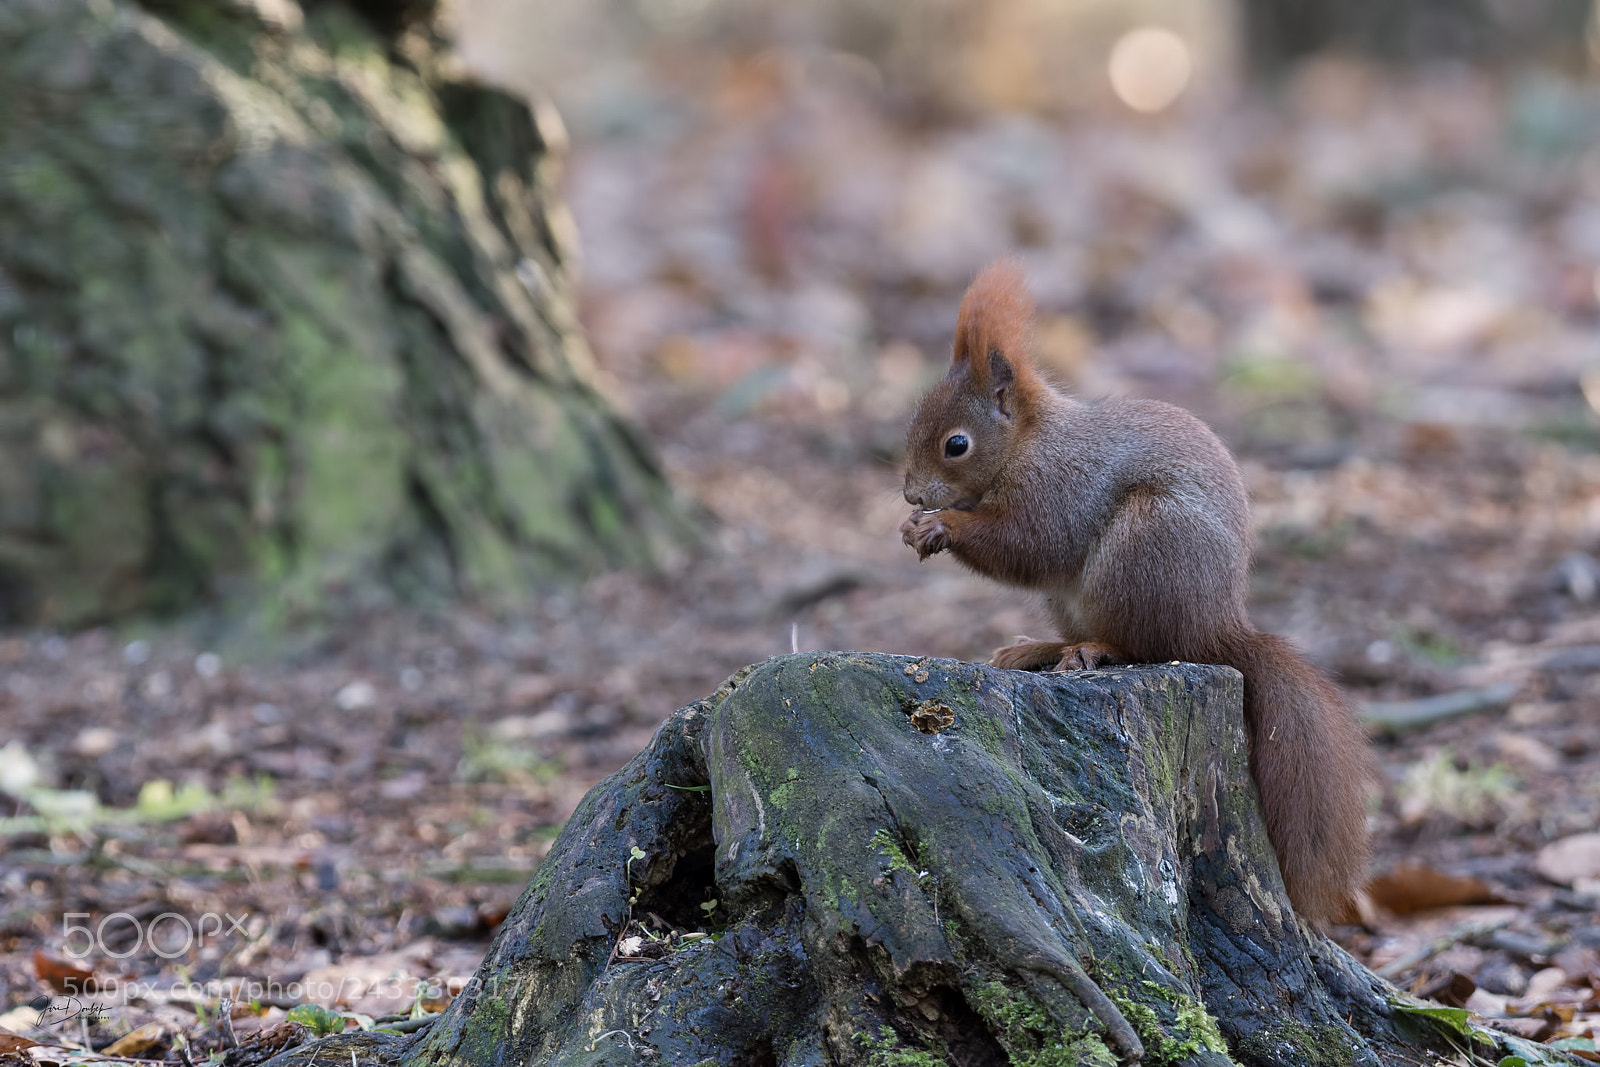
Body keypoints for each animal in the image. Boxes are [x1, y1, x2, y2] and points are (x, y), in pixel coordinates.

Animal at [898, 259, 1373, 927]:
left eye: (956, 443)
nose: (912, 493)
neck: (1028, 444)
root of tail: (1217, 626)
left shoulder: (1062, 488)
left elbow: (1029, 543)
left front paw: (941, 525)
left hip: (1143, 551)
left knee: (1144, 644)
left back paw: (1094, 651)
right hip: (1077, 596)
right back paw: (1036, 650)